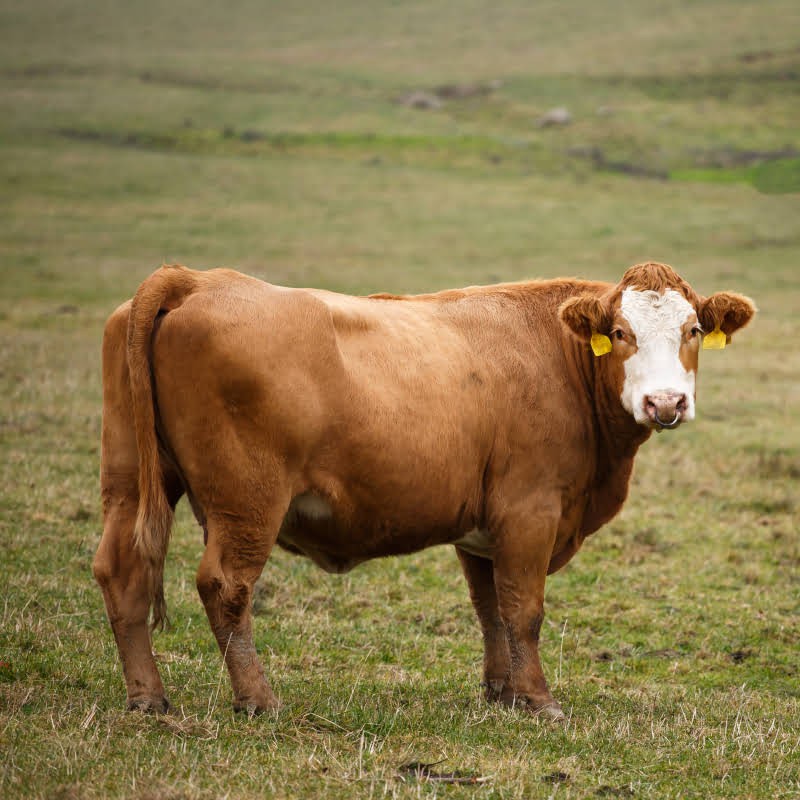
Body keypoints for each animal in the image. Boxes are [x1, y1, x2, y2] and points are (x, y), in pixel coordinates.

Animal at [93, 261, 755, 720]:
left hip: (129, 483)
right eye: (619, 332)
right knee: (225, 587)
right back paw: (258, 699)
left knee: (122, 570)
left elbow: (491, 610)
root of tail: (195, 280)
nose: (667, 402)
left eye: (693, 329)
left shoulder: (482, 529)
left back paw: (148, 697)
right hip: (247, 502)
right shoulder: (529, 512)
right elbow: (525, 610)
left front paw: (501, 691)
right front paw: (539, 700)